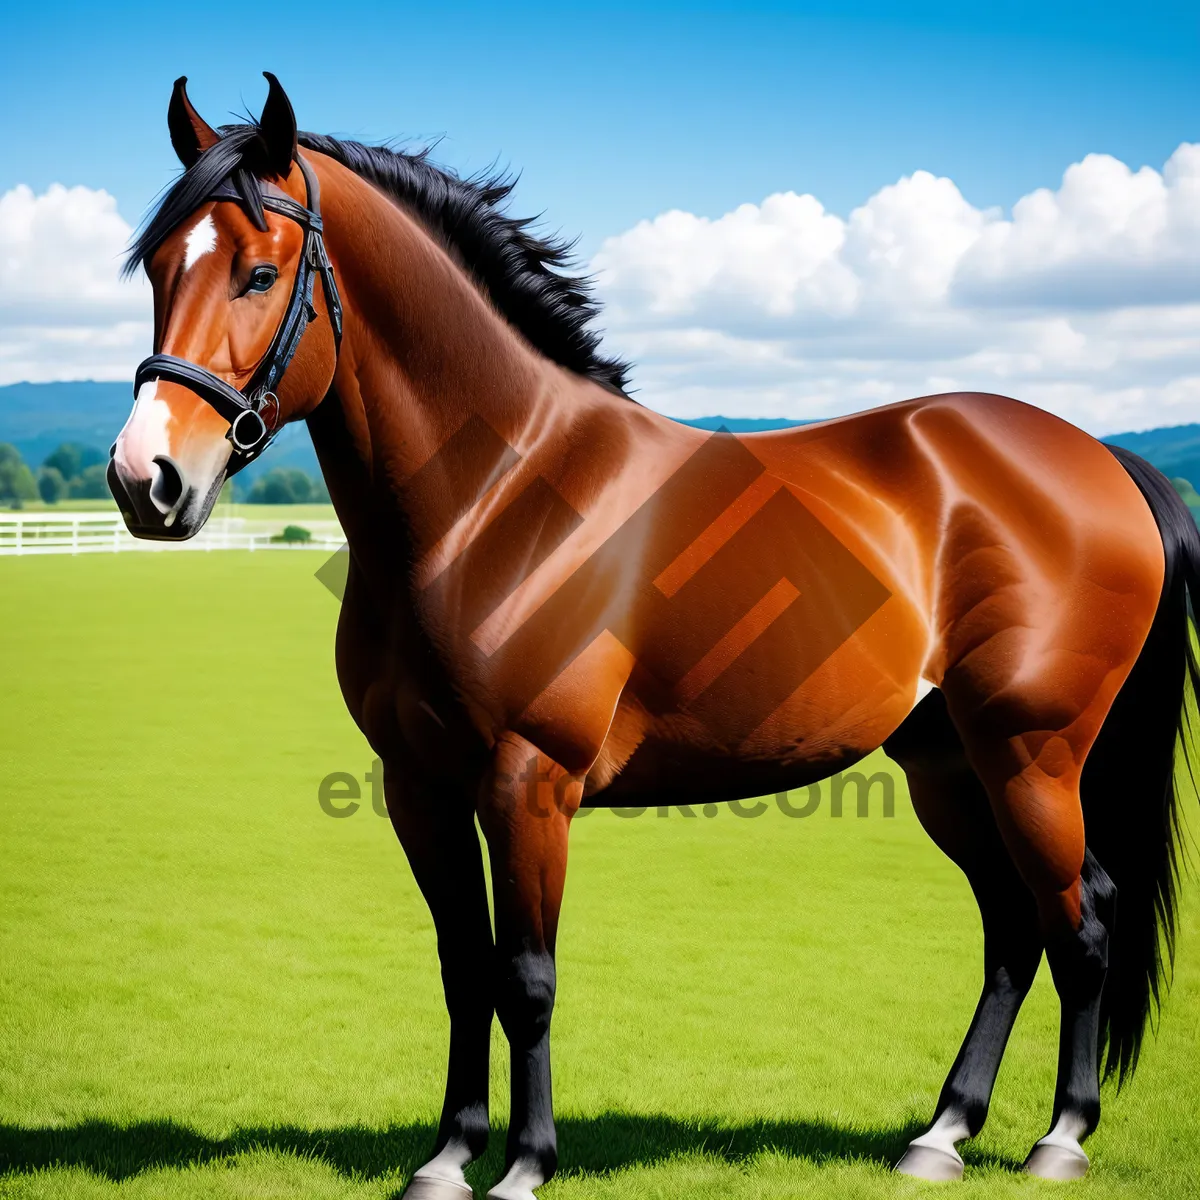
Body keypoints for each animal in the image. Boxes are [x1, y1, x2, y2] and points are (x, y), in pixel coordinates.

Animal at [108, 72, 1195, 1190]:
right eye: (159, 268)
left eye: (260, 271)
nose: (147, 479)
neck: (498, 496)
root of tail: (1101, 460)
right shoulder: (419, 785)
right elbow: (462, 966)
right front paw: (448, 1156)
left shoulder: (528, 784)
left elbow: (526, 976)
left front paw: (525, 1165)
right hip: (946, 762)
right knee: (1016, 927)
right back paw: (941, 1134)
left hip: (1033, 755)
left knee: (1083, 920)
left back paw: (1059, 1139)